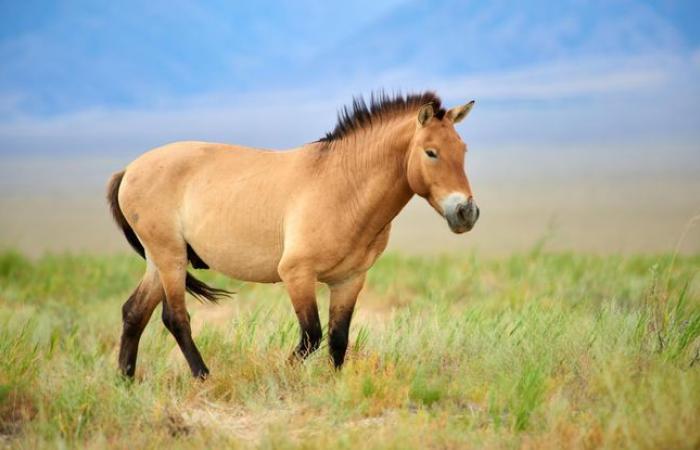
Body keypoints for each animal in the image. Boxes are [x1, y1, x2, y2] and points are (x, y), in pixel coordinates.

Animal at [106, 92, 478, 380]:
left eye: (463, 149)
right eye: (431, 152)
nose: (466, 212)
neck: (343, 187)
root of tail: (129, 169)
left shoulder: (349, 280)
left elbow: (338, 339)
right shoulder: (297, 274)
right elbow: (311, 336)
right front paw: (279, 376)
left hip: (160, 261)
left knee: (133, 312)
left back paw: (126, 380)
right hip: (170, 258)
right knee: (175, 318)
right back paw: (203, 377)